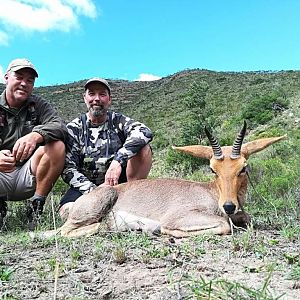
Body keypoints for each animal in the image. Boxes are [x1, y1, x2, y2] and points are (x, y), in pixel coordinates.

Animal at [43, 121, 284, 237]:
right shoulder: (179, 217)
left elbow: (244, 219)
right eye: (212, 169)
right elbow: (225, 225)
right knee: (61, 232)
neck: (211, 193)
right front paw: (164, 230)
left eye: (243, 167)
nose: (229, 206)